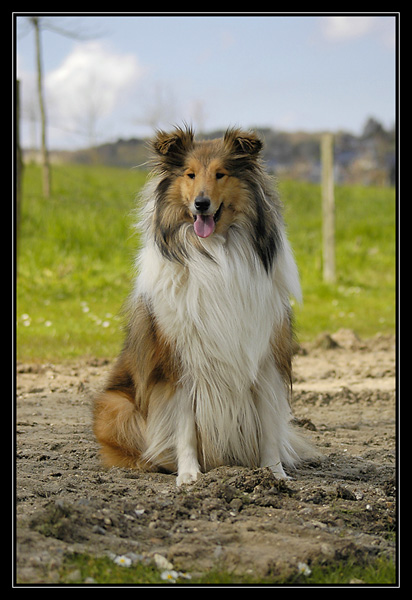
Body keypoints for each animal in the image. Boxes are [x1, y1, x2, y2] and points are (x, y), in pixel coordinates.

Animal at [93, 124, 312, 486]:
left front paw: (274, 474)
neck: (215, 255)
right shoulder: (178, 362)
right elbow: (184, 428)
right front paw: (189, 475)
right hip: (115, 406)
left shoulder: (264, 355)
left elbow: (268, 425)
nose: (201, 204)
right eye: (190, 174)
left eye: (221, 174)